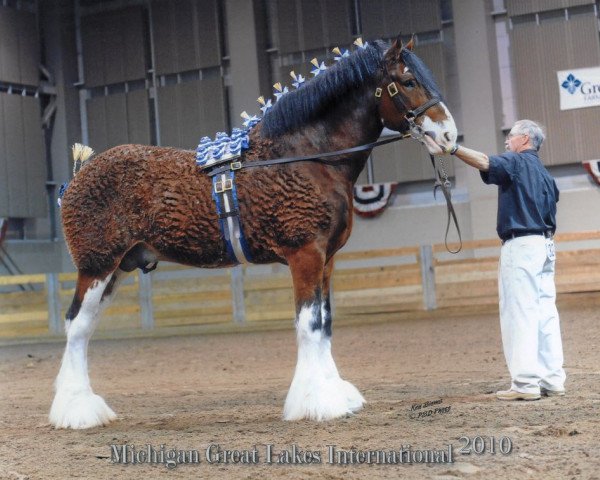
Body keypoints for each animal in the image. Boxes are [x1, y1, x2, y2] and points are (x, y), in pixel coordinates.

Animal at [50, 35, 454, 430]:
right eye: (408, 81)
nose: (448, 135)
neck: (307, 157)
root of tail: (78, 176)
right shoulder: (305, 254)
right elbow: (309, 325)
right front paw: (317, 403)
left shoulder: (327, 260)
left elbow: (324, 325)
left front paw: (334, 395)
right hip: (97, 266)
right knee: (77, 326)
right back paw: (77, 411)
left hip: (117, 268)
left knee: (84, 326)